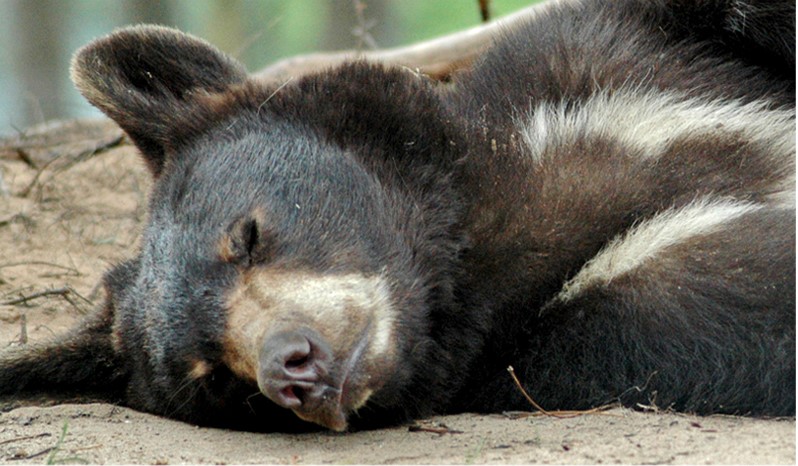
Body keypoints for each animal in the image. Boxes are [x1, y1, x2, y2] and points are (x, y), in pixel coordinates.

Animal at [0, 0, 794, 432]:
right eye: (216, 378)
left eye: (246, 236)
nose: (294, 369)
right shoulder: (558, 341)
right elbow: (724, 299)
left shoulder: (602, 61)